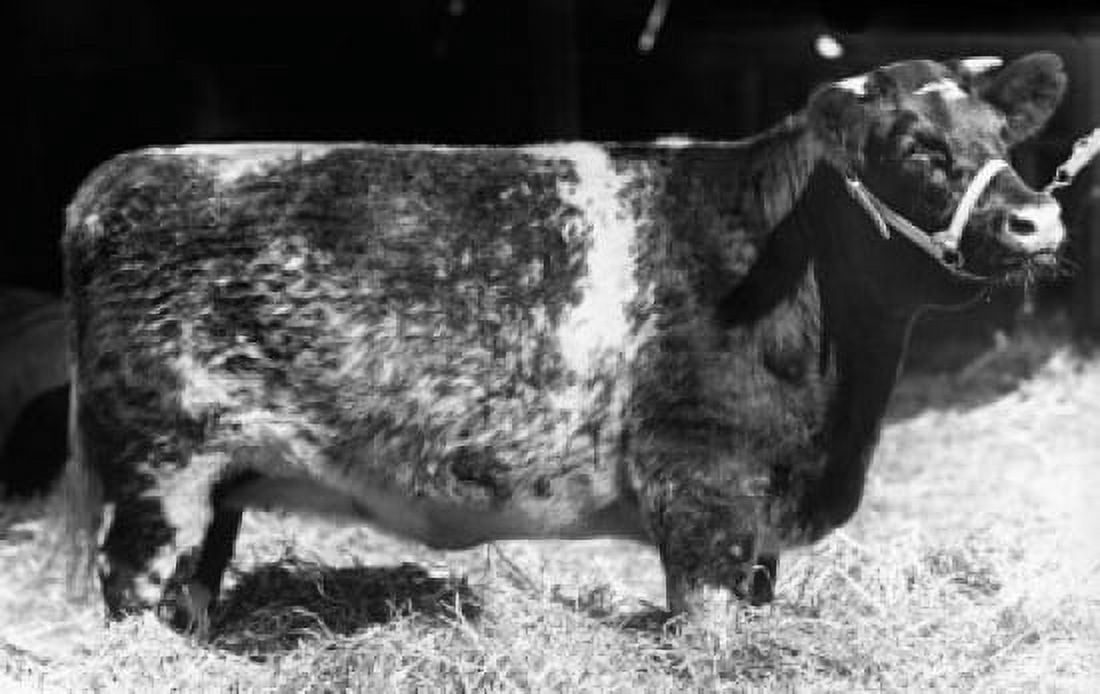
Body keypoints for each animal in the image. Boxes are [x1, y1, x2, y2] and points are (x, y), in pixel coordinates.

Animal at [61, 53, 1068, 635]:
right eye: (915, 146)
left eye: (1002, 135)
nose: (1037, 219)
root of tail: (124, 175)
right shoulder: (700, 482)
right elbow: (707, 623)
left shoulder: (759, 510)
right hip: (156, 469)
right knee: (132, 586)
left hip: (217, 483)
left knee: (192, 589)